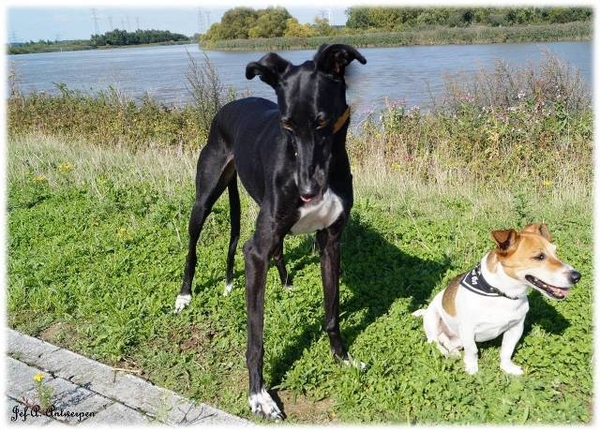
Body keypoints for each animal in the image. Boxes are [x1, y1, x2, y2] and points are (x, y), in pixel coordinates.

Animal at [175, 44, 366, 422]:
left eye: (322, 121)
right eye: (286, 124)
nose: (307, 191)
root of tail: (229, 106)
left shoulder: (331, 242)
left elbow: (332, 313)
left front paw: (343, 358)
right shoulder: (255, 252)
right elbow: (256, 338)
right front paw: (259, 395)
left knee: (277, 248)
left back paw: (286, 283)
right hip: (204, 199)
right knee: (192, 245)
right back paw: (185, 294)